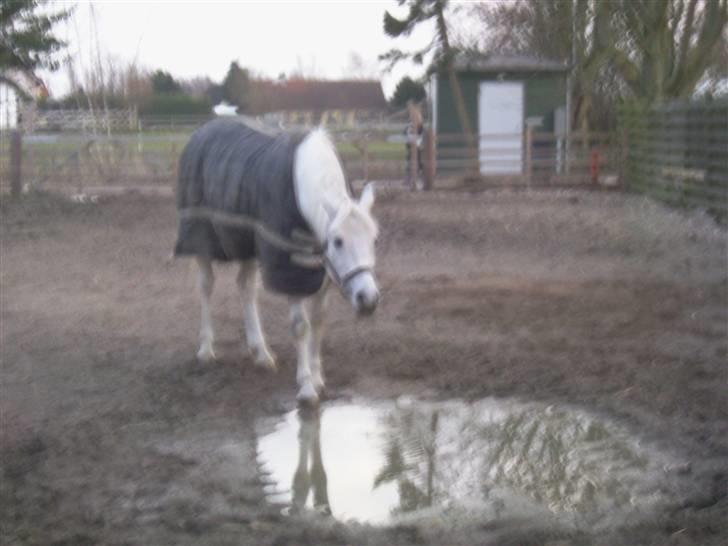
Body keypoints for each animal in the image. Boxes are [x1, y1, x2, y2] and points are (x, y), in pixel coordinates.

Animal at [174, 118, 380, 403]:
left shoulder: (321, 272)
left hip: (247, 245)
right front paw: (306, 388)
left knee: (246, 288)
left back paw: (261, 354)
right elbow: (300, 326)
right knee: (206, 287)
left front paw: (318, 378)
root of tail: (202, 131)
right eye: (338, 241)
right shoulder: (290, 270)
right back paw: (206, 350)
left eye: (374, 239)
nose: (368, 299)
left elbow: (318, 322)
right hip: (201, 241)